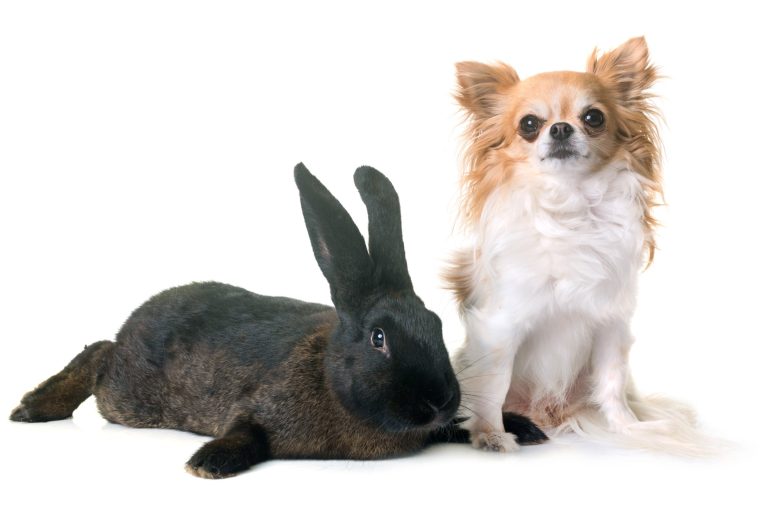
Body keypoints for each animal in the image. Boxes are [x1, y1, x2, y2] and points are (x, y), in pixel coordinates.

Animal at [10, 163, 547, 478]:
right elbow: (246, 431)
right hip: (125, 396)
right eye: (379, 339)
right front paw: (208, 463)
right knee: (98, 353)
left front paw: (522, 427)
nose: (437, 401)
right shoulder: (256, 405)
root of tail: (132, 321)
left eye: (436, 323)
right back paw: (33, 407)